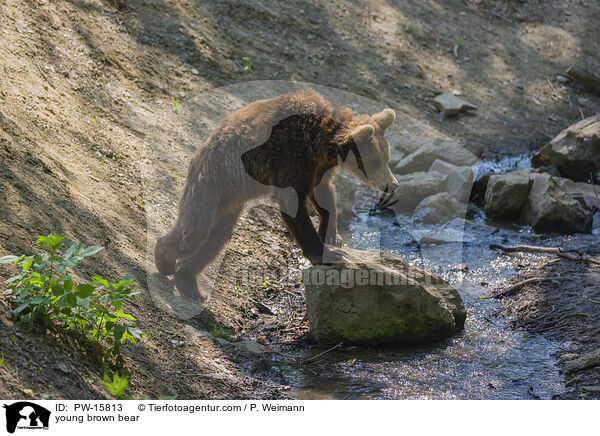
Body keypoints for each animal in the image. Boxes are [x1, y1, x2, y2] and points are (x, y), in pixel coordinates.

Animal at [155, 89, 398, 300]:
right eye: (375, 161)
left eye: (386, 157)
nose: (393, 184)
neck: (321, 143)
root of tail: (203, 146)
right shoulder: (290, 157)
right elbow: (294, 205)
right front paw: (326, 253)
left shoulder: (318, 166)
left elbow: (324, 193)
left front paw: (332, 235)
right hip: (212, 179)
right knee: (195, 230)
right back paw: (164, 259)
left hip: (230, 198)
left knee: (217, 236)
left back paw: (189, 283)